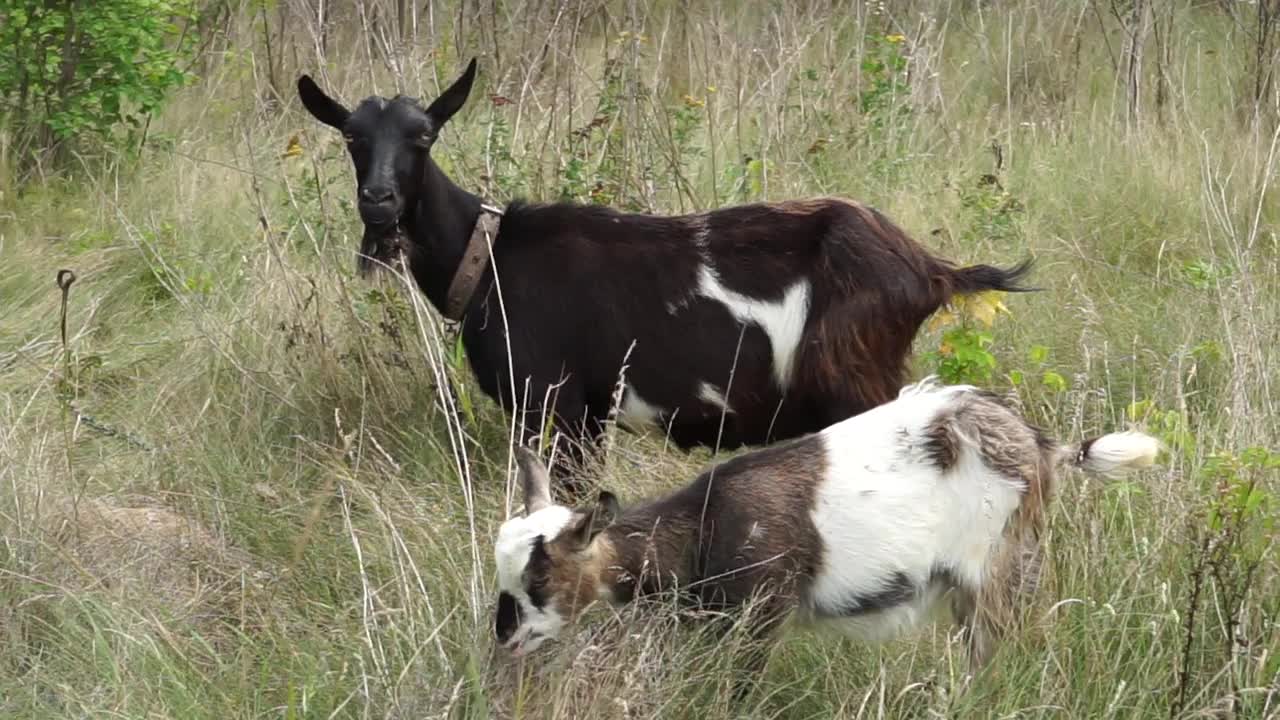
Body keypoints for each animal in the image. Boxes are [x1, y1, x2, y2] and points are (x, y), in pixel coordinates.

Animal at [296, 58, 1029, 479]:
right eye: (352, 137)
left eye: (423, 136)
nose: (378, 200)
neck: (491, 257)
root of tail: (931, 269)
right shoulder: (589, 418)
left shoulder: (556, 406)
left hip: (857, 383)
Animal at [488, 379, 1162, 676]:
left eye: (540, 580)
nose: (504, 639)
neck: (705, 526)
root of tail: (1041, 445)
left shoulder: (759, 616)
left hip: (998, 569)